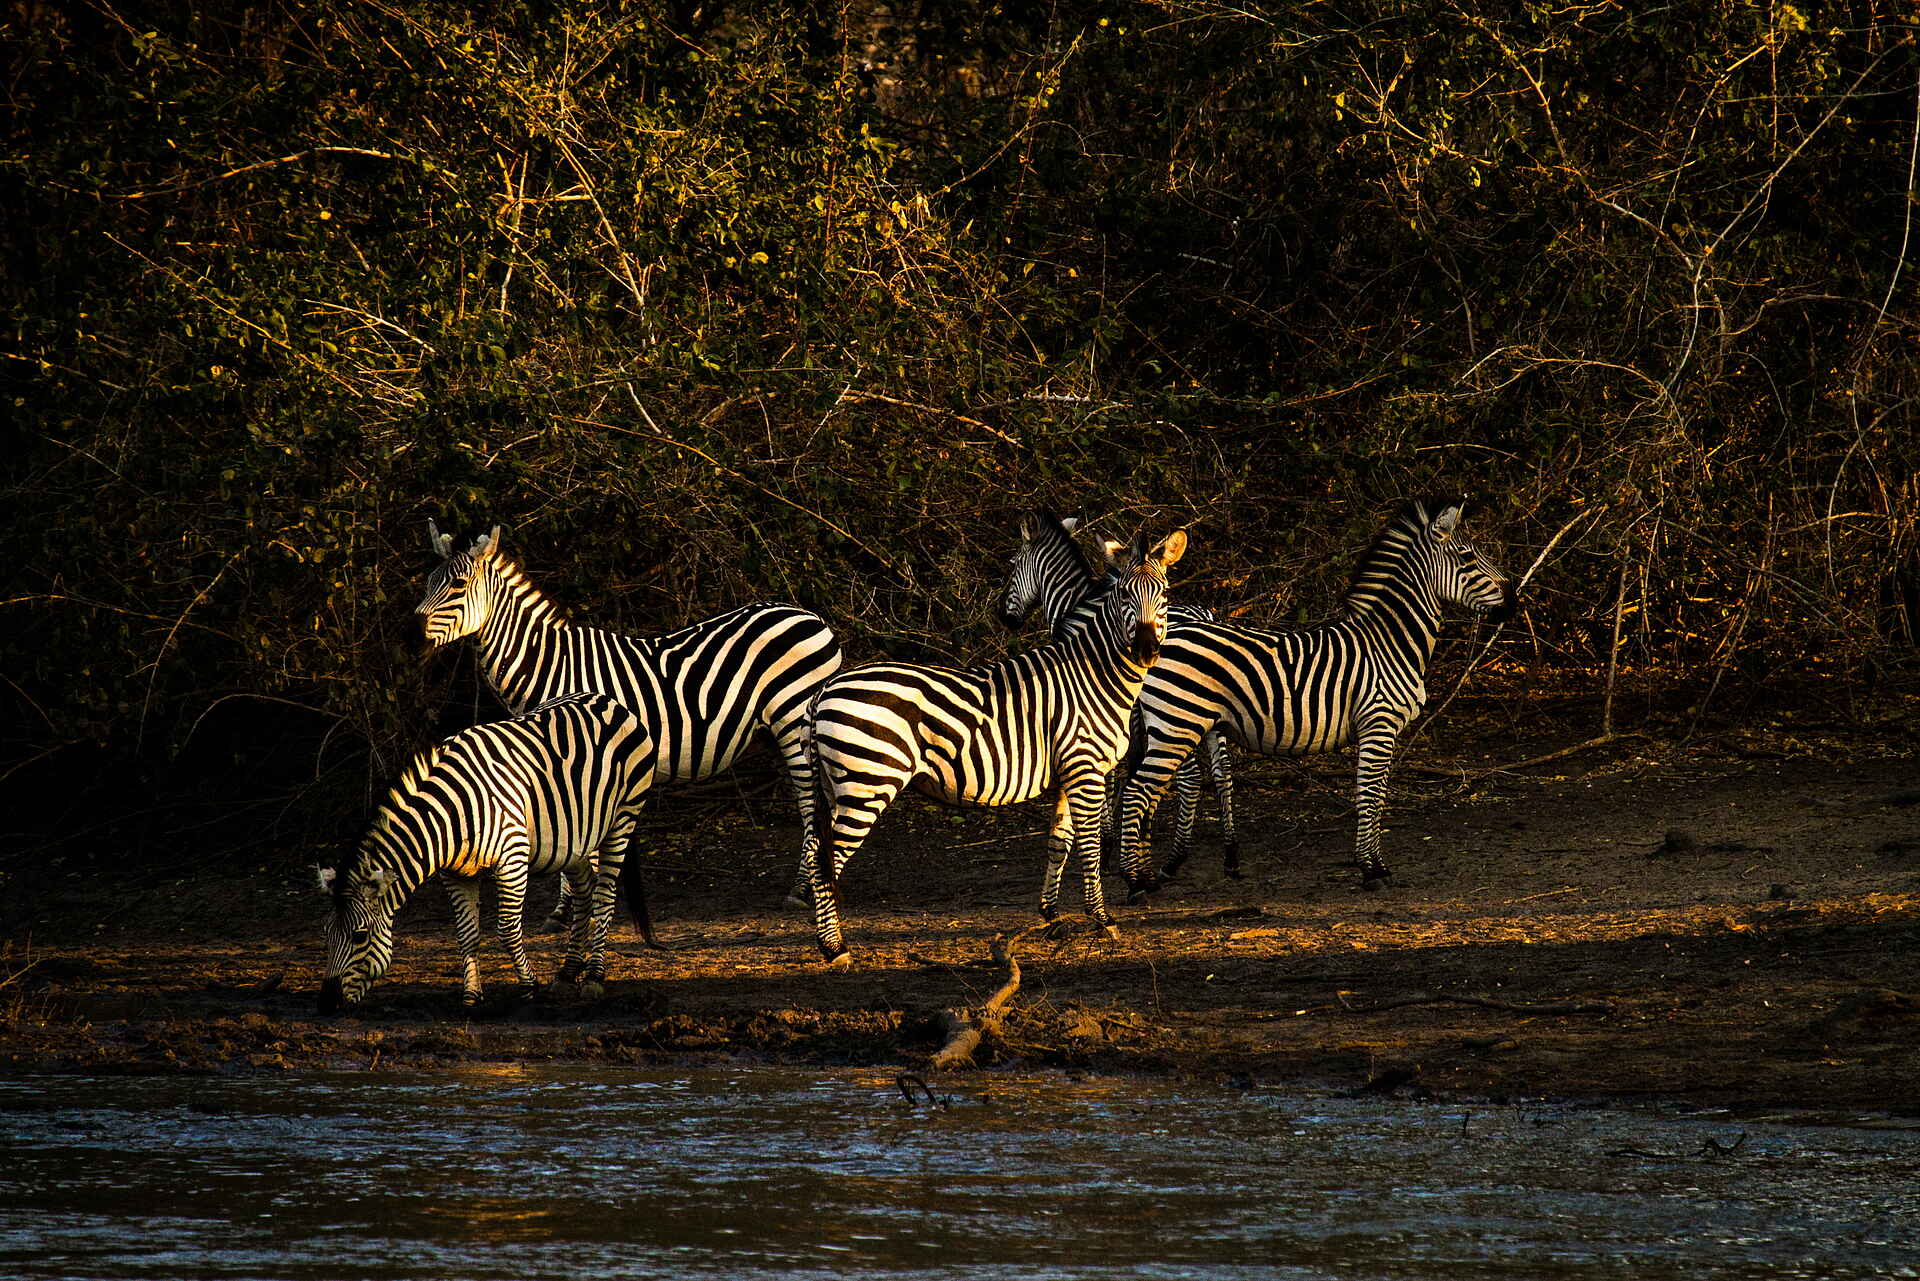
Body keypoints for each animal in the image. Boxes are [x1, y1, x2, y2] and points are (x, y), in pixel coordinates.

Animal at [317, 692, 660, 1011]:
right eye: (326, 933)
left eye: (360, 936)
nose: (327, 1003)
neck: (450, 814)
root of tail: (606, 699)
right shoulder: (455, 873)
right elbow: (466, 933)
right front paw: (471, 997)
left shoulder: (512, 857)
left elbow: (506, 928)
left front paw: (529, 986)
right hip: (574, 841)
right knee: (585, 893)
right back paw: (567, 972)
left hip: (622, 818)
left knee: (604, 896)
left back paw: (593, 977)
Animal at [415, 523, 842, 923]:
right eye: (429, 582)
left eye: (457, 585)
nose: (412, 633)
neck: (549, 665)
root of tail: (812, 616)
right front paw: (567, 909)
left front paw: (574, 907)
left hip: (793, 721)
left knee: (810, 803)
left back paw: (803, 890)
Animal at [804, 524, 1188, 967]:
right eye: (1124, 594)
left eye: (1164, 594)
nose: (1146, 650)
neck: (1094, 674)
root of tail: (826, 688)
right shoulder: (1085, 768)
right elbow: (1089, 847)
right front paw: (1101, 919)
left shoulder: (1067, 773)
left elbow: (1059, 843)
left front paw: (1051, 916)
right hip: (868, 782)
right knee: (827, 859)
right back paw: (835, 949)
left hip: (836, 784)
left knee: (815, 851)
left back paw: (829, 941)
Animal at [997, 510, 1241, 879]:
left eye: (1013, 564)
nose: (1005, 618)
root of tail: (1202, 614)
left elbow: (1111, 777)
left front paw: (1109, 844)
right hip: (1206, 712)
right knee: (1222, 772)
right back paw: (1230, 855)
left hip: (1175, 714)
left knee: (1190, 777)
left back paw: (1175, 859)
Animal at [1117, 496, 1514, 893]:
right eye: (1467, 557)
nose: (1513, 601)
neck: (1388, 641)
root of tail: (1155, 641)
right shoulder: (1378, 723)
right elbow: (1370, 795)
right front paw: (1370, 869)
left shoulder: (1382, 731)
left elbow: (1378, 795)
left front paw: (1377, 865)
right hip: (1177, 724)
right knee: (1138, 792)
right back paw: (1134, 881)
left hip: (1178, 725)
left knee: (1151, 791)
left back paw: (1149, 873)